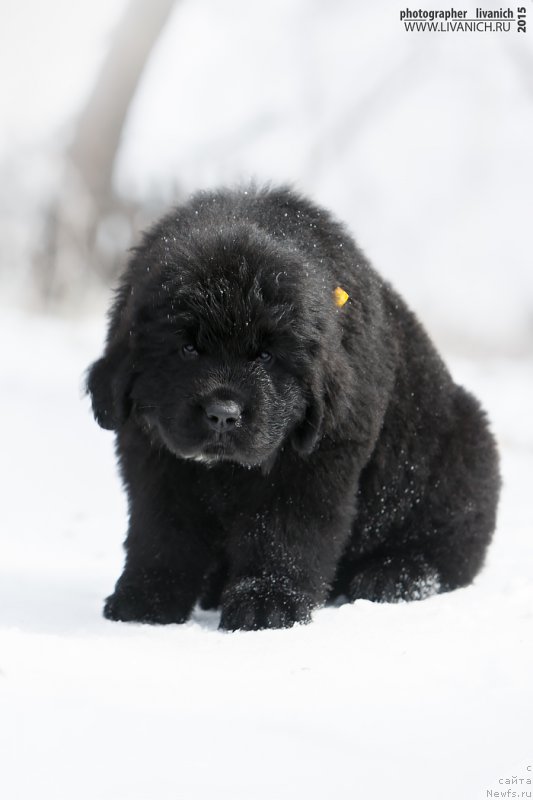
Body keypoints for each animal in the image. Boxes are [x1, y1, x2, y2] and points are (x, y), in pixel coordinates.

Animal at [86, 186, 498, 632]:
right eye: (188, 347)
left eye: (266, 355)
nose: (223, 414)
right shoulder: (154, 456)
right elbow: (161, 531)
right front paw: (145, 602)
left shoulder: (313, 460)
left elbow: (282, 531)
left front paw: (265, 606)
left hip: (461, 451)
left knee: (448, 549)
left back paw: (396, 575)